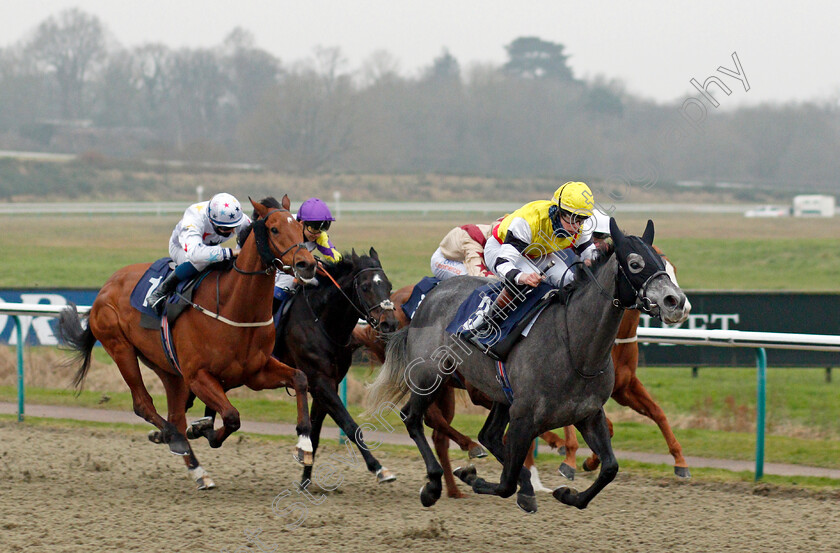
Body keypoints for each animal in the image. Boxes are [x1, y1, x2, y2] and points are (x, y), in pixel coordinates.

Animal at [57, 196, 316, 490]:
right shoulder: (198, 376)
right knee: (145, 405)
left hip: (167, 368)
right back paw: (175, 438)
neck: (234, 307)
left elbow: (299, 378)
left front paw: (304, 445)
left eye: (300, 227)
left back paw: (195, 467)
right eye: (274, 229)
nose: (307, 264)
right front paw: (204, 431)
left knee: (175, 415)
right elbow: (231, 416)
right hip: (120, 348)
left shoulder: (255, 372)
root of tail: (105, 288)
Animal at [368, 218, 688, 512]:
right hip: (429, 376)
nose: (676, 302)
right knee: (413, 418)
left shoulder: (588, 413)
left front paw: (567, 494)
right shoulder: (524, 417)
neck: (575, 346)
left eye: (661, 261)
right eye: (634, 263)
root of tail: (427, 299)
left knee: (486, 435)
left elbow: (610, 467)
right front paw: (476, 478)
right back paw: (434, 485)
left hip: (496, 394)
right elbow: (506, 482)